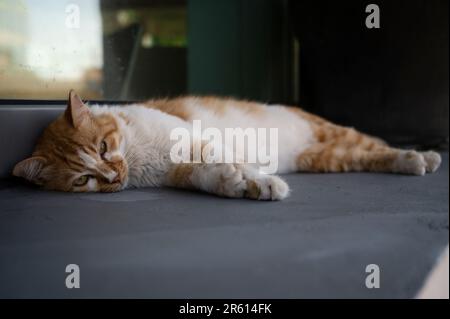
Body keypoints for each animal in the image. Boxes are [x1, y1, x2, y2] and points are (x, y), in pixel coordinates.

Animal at [12, 89, 442, 201]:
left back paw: (421, 157)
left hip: (337, 135)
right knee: (369, 157)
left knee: (380, 145)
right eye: (83, 179)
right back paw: (412, 163)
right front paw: (241, 185)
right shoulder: (181, 170)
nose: (114, 176)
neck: (136, 154)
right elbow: (209, 175)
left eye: (103, 147)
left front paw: (260, 181)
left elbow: (222, 157)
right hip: (328, 157)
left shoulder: (196, 141)